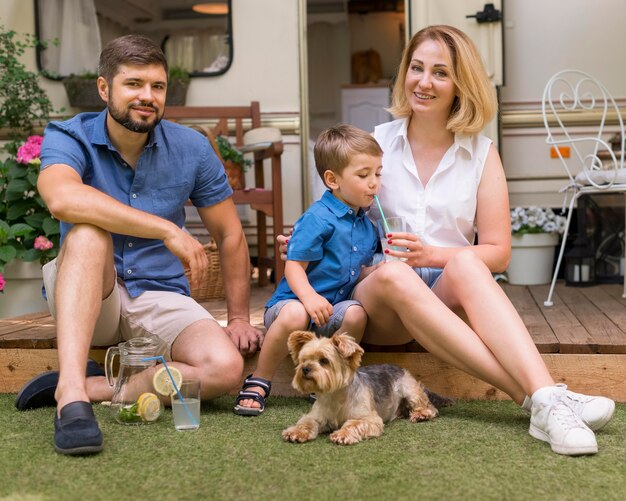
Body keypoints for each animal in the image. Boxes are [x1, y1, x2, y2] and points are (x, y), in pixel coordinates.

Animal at [282, 330, 448, 444]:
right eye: (303, 359)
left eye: (324, 361)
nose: (304, 369)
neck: (335, 395)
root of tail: (400, 367)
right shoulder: (315, 416)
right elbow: (306, 422)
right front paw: (296, 432)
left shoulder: (369, 419)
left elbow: (353, 424)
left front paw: (342, 434)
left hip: (411, 390)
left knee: (428, 406)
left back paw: (421, 414)